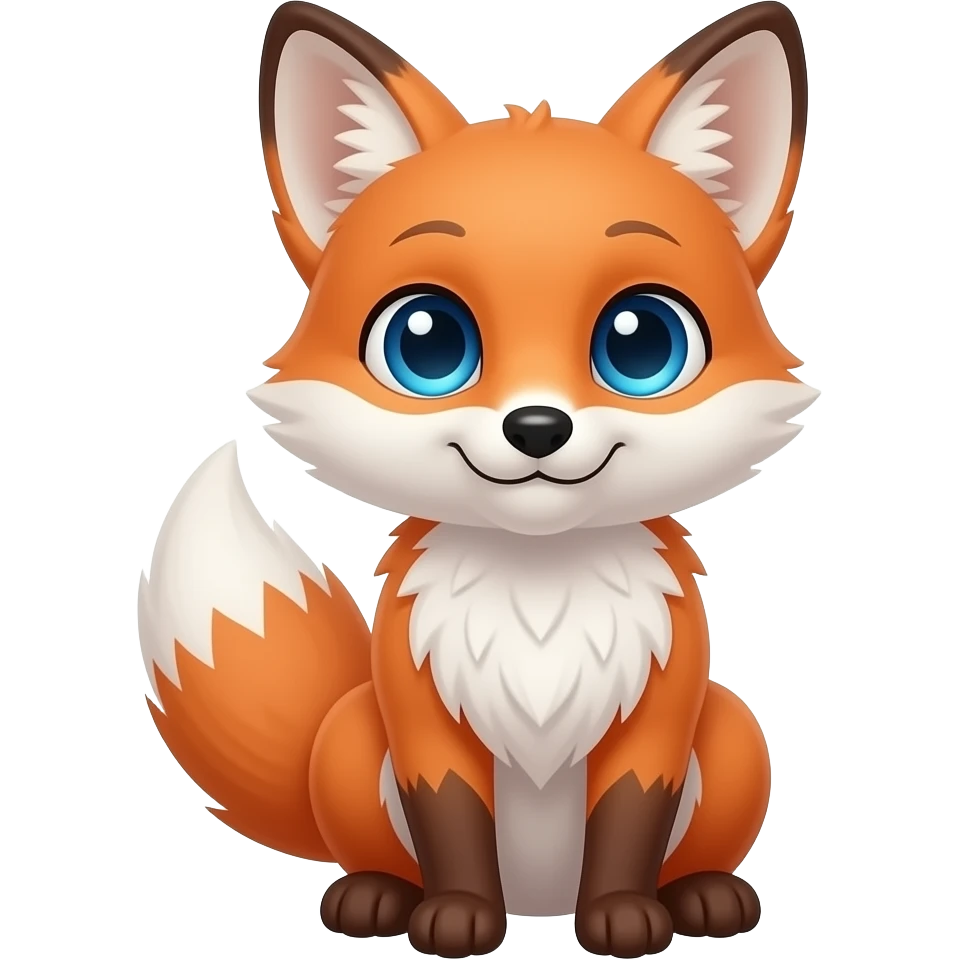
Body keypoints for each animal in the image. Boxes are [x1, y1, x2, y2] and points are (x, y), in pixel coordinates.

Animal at [137, 2, 817, 957]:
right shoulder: (418, 717)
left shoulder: (660, 716)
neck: (538, 598)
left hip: (733, 735)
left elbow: (627, 822)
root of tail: (540, 903)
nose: (536, 428)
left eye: (643, 342)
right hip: (351, 738)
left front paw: (623, 916)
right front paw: (456, 917)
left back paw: (702, 896)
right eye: (427, 343)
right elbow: (451, 820)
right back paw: (376, 896)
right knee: (377, 851)